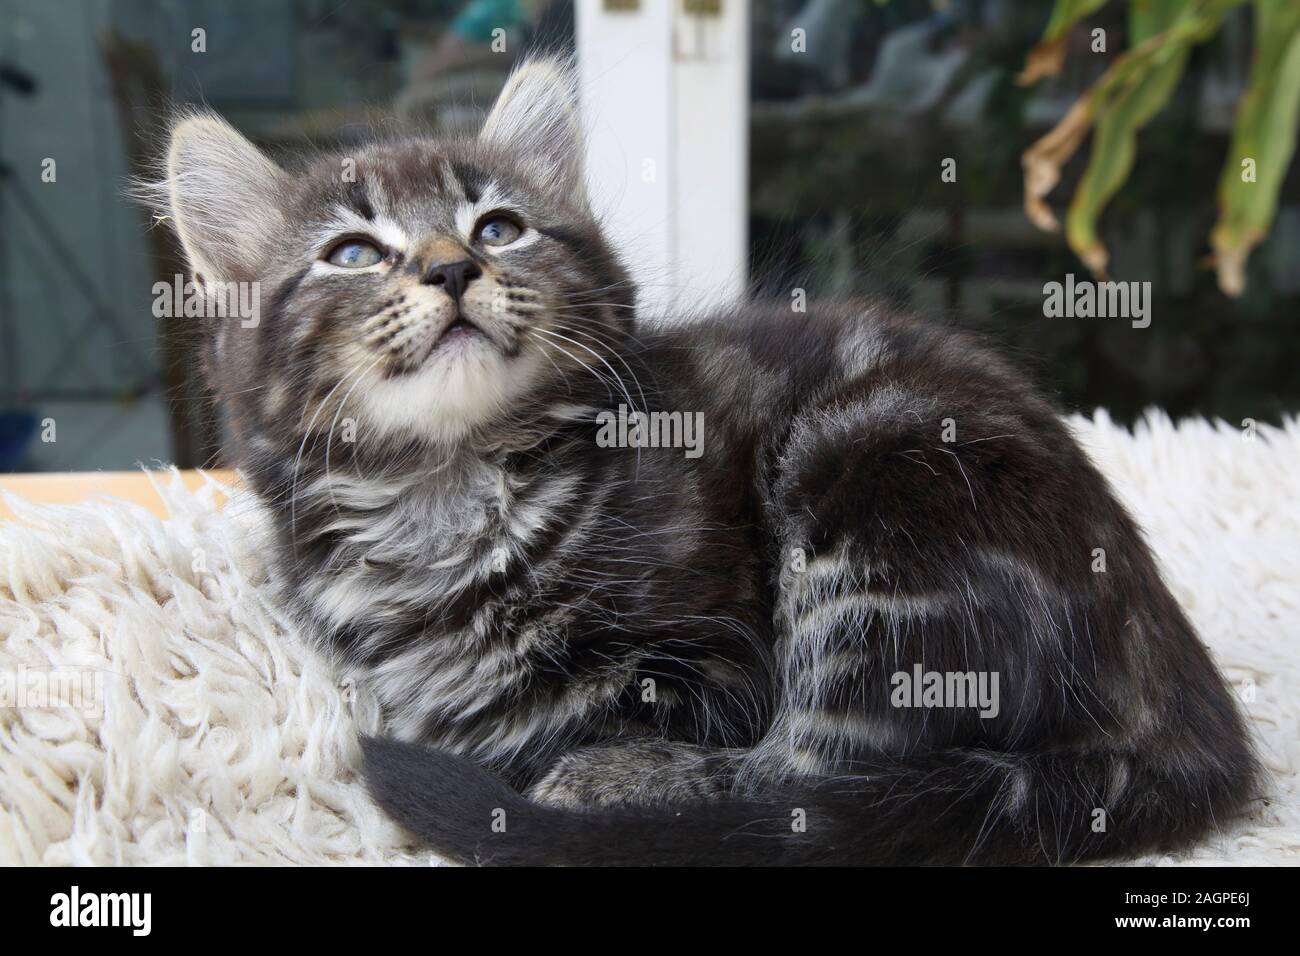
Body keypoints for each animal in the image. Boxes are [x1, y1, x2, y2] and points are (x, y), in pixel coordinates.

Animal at [154, 59, 1258, 868]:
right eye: (351, 252)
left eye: (499, 228)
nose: (453, 268)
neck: (450, 488)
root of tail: (1190, 708)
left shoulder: (722, 660)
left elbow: (591, 723)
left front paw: (567, 767)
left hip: (875, 488)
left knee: (806, 797)